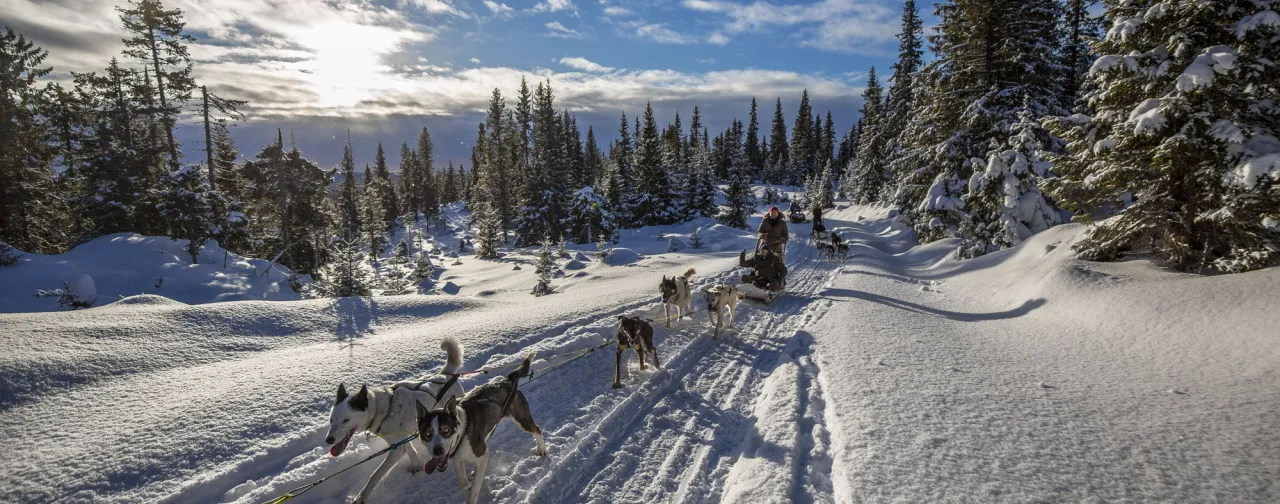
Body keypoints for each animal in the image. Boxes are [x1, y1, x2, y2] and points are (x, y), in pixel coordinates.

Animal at [325, 337, 471, 501]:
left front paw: (362, 496)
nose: (328, 440)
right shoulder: (399, 440)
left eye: (346, 420)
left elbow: (376, 474)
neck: (385, 410)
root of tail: (445, 374)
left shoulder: (396, 448)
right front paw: (416, 465)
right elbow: (410, 450)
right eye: (331, 420)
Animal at [414, 355, 545, 504]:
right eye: (427, 434)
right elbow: (463, 482)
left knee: (537, 429)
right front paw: (469, 480)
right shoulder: (456, 459)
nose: (438, 451)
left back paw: (542, 448)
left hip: (522, 421)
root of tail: (507, 380)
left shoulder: (483, 454)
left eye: (446, 431)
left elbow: (474, 489)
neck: (462, 434)